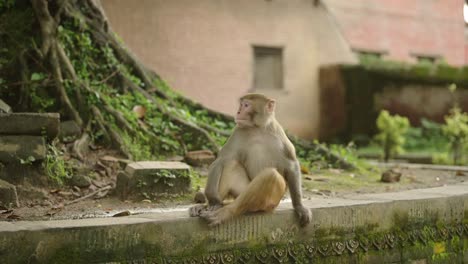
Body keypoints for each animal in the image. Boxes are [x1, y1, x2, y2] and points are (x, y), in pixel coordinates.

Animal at [190, 93, 310, 227]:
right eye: (241, 104)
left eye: (246, 105)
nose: (238, 112)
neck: (258, 129)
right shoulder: (237, 131)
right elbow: (221, 160)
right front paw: (213, 201)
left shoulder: (279, 135)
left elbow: (291, 165)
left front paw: (299, 206)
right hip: (240, 191)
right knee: (231, 165)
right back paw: (213, 206)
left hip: (271, 202)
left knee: (271, 175)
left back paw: (225, 212)